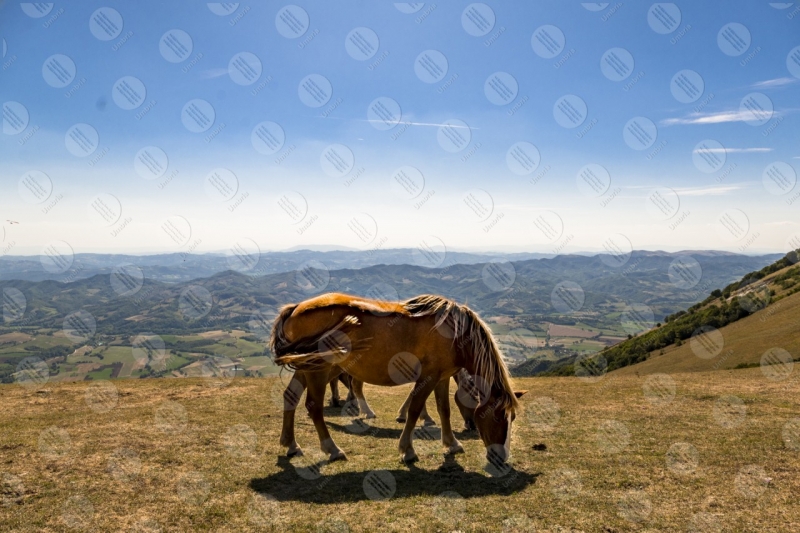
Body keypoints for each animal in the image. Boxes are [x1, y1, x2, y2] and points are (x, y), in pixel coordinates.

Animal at [272, 294, 528, 464]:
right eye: (498, 416)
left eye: (513, 417)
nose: (502, 457)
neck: (456, 334)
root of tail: (295, 308)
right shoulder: (428, 377)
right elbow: (414, 409)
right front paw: (408, 449)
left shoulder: (442, 377)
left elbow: (444, 409)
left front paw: (452, 443)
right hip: (319, 369)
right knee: (314, 406)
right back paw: (332, 449)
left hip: (306, 366)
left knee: (291, 397)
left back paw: (291, 444)